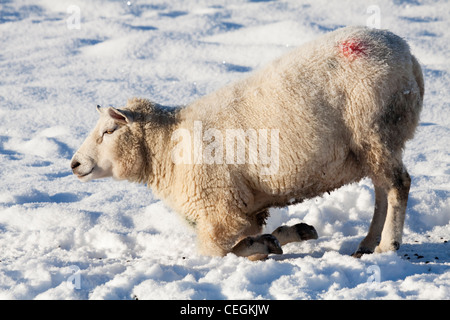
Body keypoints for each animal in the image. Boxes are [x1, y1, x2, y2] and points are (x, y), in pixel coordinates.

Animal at [70, 26, 422, 258]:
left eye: (108, 131)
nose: (74, 163)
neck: (166, 148)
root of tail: (407, 55)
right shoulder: (245, 208)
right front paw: (289, 235)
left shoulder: (220, 212)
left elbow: (217, 253)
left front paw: (265, 244)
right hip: (375, 142)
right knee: (382, 189)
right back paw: (367, 243)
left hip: (374, 129)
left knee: (398, 185)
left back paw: (388, 244)